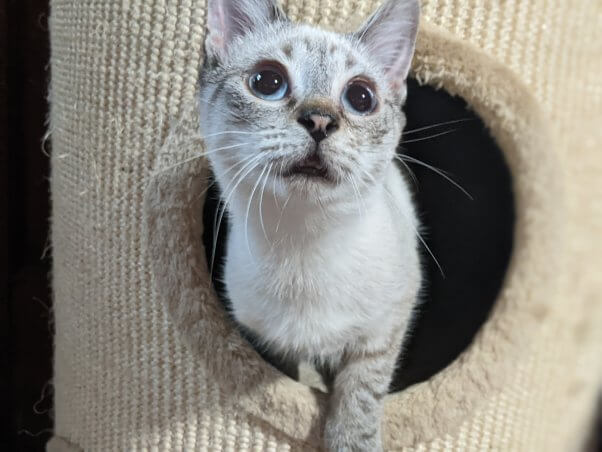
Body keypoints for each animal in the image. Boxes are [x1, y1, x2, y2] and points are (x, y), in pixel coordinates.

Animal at [197, 1, 418, 450]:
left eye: (361, 97)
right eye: (267, 82)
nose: (319, 121)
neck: (302, 244)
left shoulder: (385, 328)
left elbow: (359, 396)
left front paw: (351, 442)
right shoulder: (267, 340)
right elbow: (295, 375)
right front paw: (311, 388)